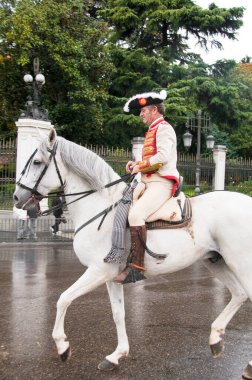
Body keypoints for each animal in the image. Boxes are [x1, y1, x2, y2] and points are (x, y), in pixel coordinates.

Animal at [13, 129, 252, 378]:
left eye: (37, 162)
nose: (17, 197)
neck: (101, 207)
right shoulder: (111, 276)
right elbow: (118, 314)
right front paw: (116, 356)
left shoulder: (98, 271)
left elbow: (63, 299)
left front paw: (62, 346)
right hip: (216, 262)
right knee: (239, 294)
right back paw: (215, 339)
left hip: (242, 263)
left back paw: (248, 364)